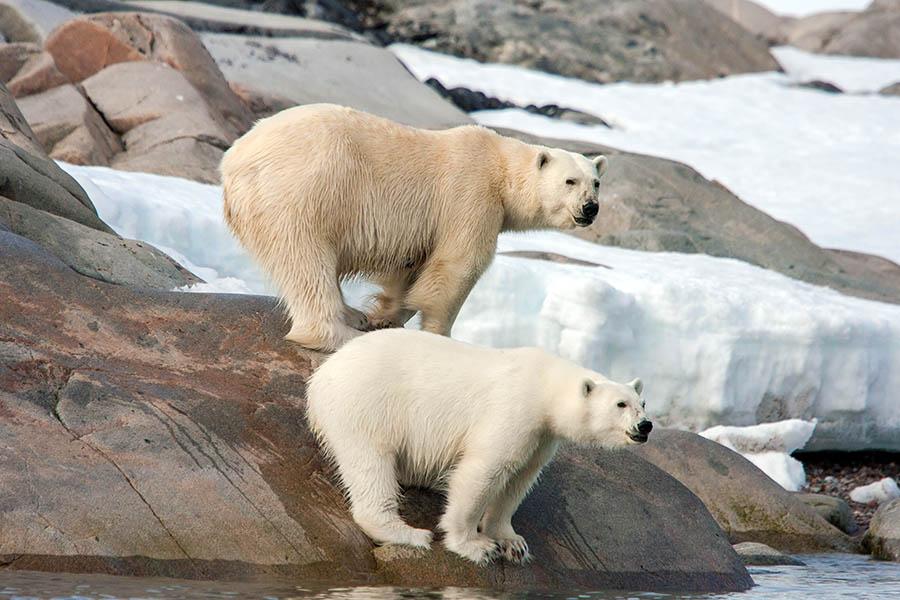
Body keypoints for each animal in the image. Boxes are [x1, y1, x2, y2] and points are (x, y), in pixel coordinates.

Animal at [221, 104, 608, 351]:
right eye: (570, 181)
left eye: (596, 182)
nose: (590, 208)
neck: (500, 167)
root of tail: (234, 161)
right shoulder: (471, 196)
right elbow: (457, 269)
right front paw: (439, 335)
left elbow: (410, 271)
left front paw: (386, 315)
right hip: (302, 191)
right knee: (305, 261)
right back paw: (341, 334)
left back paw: (354, 316)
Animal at [306, 328, 652, 564]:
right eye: (620, 404)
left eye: (642, 403)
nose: (645, 426)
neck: (544, 386)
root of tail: (321, 377)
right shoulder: (513, 410)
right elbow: (482, 471)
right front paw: (476, 546)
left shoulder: (540, 436)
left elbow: (519, 480)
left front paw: (512, 542)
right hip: (367, 405)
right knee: (371, 464)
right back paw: (409, 533)